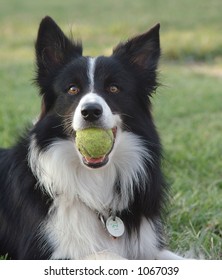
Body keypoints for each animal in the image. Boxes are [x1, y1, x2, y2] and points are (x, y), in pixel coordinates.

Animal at [0, 16, 182, 260]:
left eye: (114, 88)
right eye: (72, 89)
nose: (91, 111)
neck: (94, 181)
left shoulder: (148, 246)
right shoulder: (43, 252)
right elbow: (110, 255)